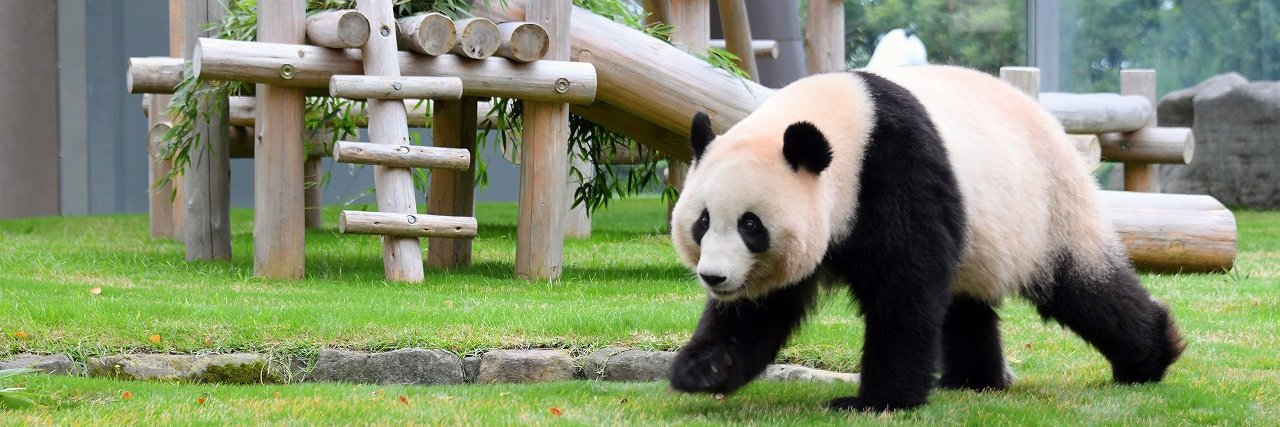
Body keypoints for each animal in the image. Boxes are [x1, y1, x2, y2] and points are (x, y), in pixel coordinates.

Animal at [667, 66, 1185, 412]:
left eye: (751, 225)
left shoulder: (895, 168)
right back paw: (974, 380)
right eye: (703, 222)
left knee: (1083, 288)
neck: (847, 127)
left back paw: (1148, 358)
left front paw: (876, 401)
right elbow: (760, 308)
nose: (714, 277)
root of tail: (1054, 123)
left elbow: (906, 284)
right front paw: (701, 368)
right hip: (983, 233)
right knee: (965, 301)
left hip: (1048, 205)